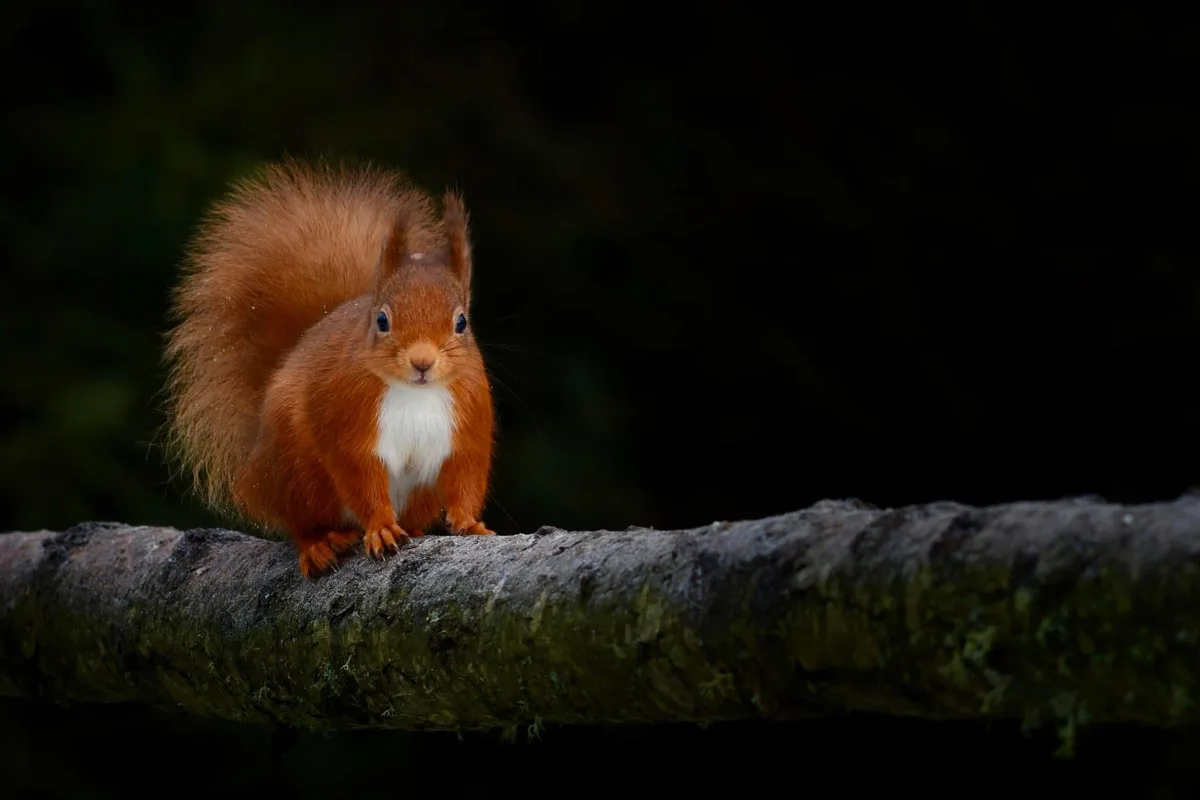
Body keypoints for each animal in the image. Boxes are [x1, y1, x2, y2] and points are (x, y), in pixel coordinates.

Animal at [163, 159, 496, 578]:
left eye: (462, 322)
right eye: (381, 320)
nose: (422, 362)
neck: (414, 392)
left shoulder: (468, 419)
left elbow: (467, 474)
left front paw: (470, 523)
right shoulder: (346, 417)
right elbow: (359, 475)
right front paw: (381, 527)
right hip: (297, 473)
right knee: (301, 523)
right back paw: (320, 544)